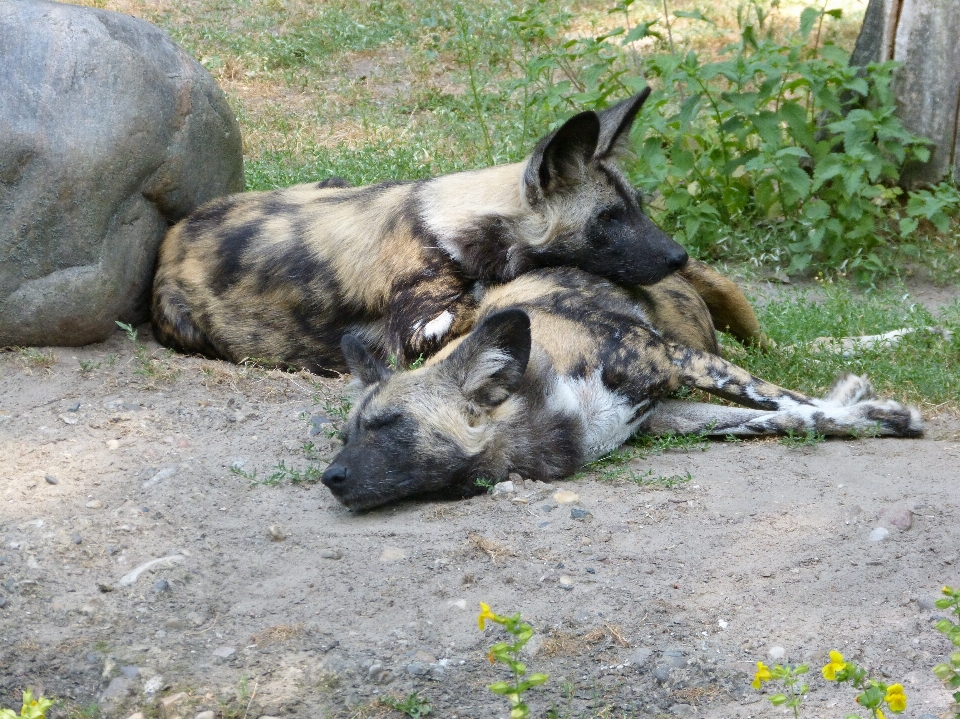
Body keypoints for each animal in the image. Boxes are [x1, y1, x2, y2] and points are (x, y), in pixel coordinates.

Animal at [150, 87, 688, 374]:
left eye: (637, 208)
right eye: (607, 219)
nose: (679, 257)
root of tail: (173, 237)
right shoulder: (416, 334)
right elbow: (483, 299)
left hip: (328, 183)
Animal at [322, 268, 924, 510]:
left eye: (390, 426)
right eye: (347, 435)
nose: (330, 478)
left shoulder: (676, 360)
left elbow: (793, 401)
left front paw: (876, 410)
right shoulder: (664, 417)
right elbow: (791, 417)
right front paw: (871, 417)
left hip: (728, 315)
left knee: (784, 354)